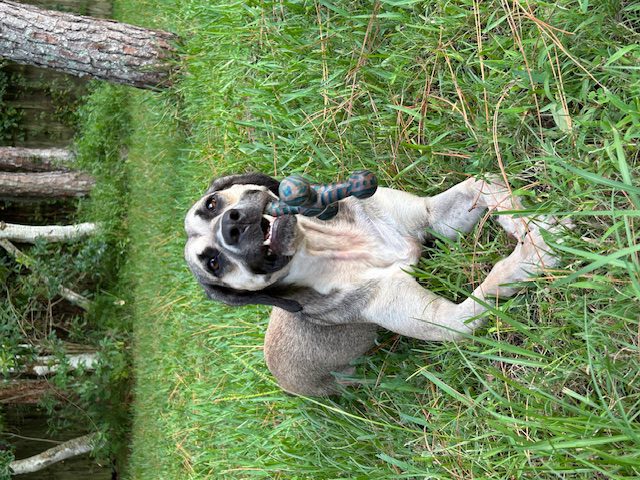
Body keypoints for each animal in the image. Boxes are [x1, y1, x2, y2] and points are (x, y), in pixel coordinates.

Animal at [184, 174, 560, 396]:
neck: (334, 245)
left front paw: (526, 220)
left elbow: (484, 184)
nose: (231, 226)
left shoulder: (433, 217)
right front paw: (532, 254)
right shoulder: (448, 321)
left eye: (211, 205)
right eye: (213, 263)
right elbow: (493, 280)